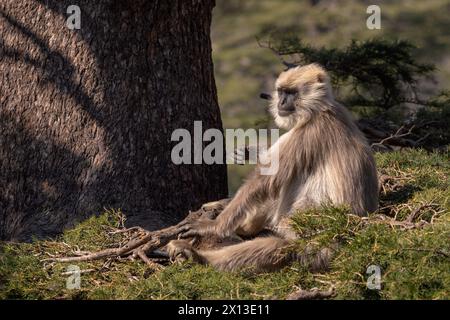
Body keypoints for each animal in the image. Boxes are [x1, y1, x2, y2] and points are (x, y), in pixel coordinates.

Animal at [167, 64, 378, 272]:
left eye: (292, 93)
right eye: (282, 91)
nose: (282, 102)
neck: (320, 110)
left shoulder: (309, 131)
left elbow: (265, 180)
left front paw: (213, 226)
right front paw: (249, 152)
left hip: (311, 232)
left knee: (281, 244)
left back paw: (198, 257)